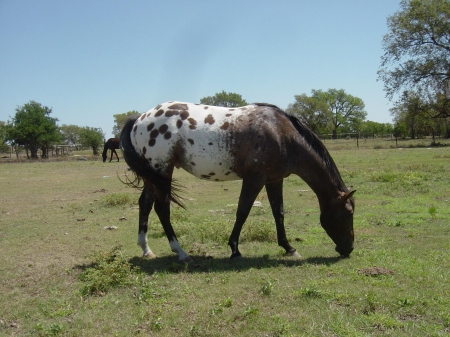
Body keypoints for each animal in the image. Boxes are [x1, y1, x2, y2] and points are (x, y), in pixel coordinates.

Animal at [119, 101, 356, 262]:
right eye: (348, 213)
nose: (349, 249)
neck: (280, 133)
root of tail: (139, 118)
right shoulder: (254, 179)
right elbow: (243, 211)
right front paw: (234, 249)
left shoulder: (274, 180)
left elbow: (278, 213)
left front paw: (288, 247)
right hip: (162, 171)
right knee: (162, 208)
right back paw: (181, 252)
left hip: (153, 176)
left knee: (145, 204)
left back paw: (146, 249)